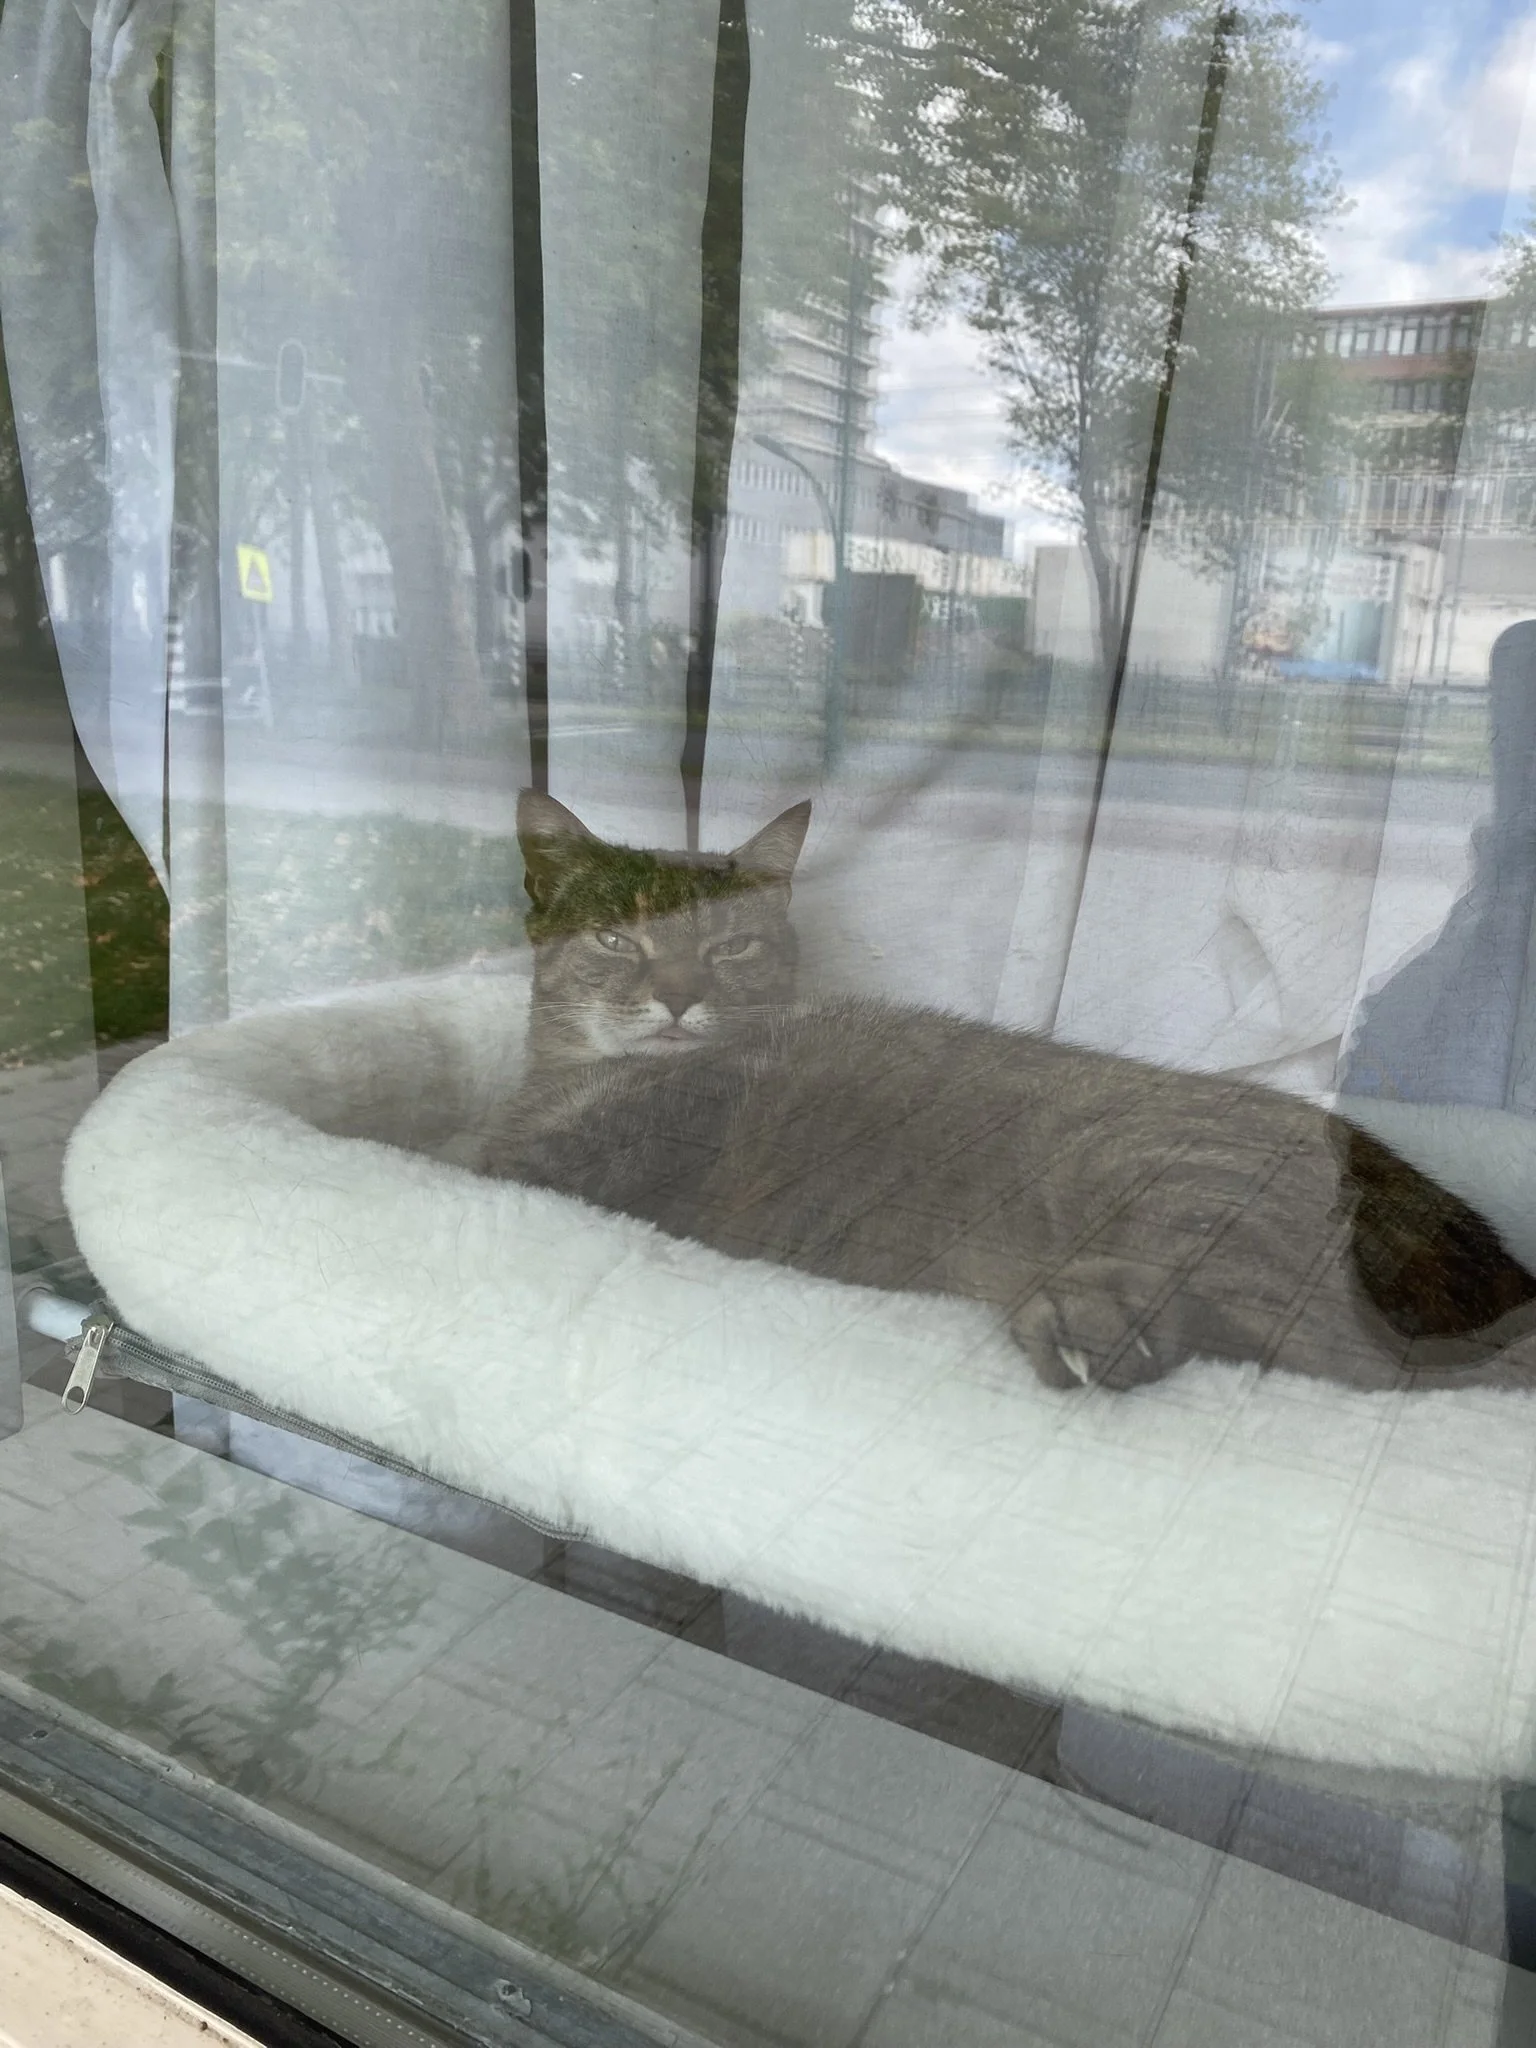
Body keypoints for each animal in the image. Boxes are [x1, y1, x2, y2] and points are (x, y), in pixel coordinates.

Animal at [480, 790, 1536, 1394]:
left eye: (731, 944)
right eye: (616, 936)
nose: (675, 994)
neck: (581, 1076)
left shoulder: (569, 1162)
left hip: (1153, 1175)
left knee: (1370, 1365)